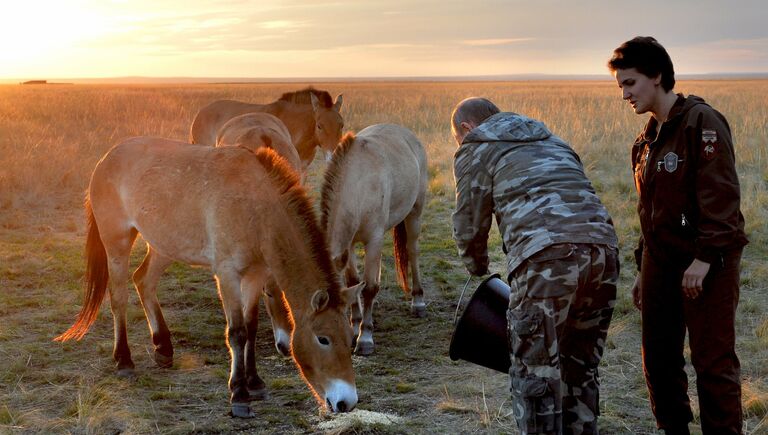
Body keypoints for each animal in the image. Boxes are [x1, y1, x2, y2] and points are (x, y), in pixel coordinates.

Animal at [54, 140, 364, 418]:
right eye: (323, 339)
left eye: (351, 338)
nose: (346, 402)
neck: (256, 207)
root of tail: (106, 158)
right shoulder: (227, 274)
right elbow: (237, 332)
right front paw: (239, 394)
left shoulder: (255, 275)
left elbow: (251, 327)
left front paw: (255, 382)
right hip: (117, 241)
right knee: (119, 296)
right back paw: (124, 360)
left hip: (164, 245)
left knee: (143, 281)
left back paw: (163, 347)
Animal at [318, 124, 426, 356]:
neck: (358, 185)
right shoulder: (348, 245)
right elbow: (353, 282)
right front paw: (355, 326)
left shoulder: (373, 239)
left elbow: (368, 288)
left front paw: (365, 338)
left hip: (415, 213)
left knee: (412, 252)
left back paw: (418, 302)